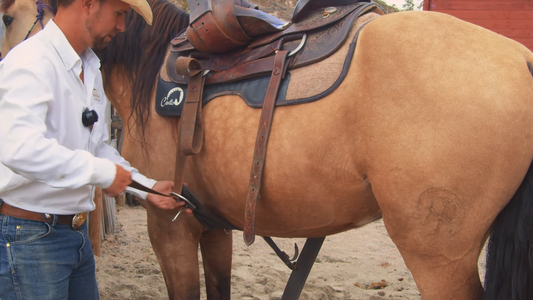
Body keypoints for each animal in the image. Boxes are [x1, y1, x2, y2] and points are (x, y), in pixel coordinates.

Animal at [3, 0, 532, 300]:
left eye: (7, 15)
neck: (150, 67)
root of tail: (522, 60)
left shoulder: (169, 223)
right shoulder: (212, 225)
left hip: (438, 259)